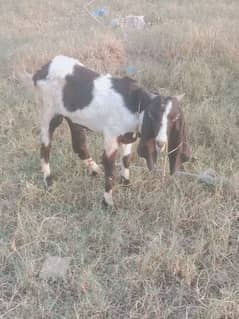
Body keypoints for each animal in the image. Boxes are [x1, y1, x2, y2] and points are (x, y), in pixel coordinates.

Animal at [33, 55, 190, 208]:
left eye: (175, 117)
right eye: (152, 115)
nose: (161, 142)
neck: (134, 102)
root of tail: (41, 71)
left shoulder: (127, 137)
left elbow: (126, 160)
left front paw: (126, 186)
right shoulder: (111, 137)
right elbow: (109, 169)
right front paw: (108, 203)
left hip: (73, 117)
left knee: (79, 145)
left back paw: (95, 170)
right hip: (48, 112)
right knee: (45, 148)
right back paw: (49, 181)